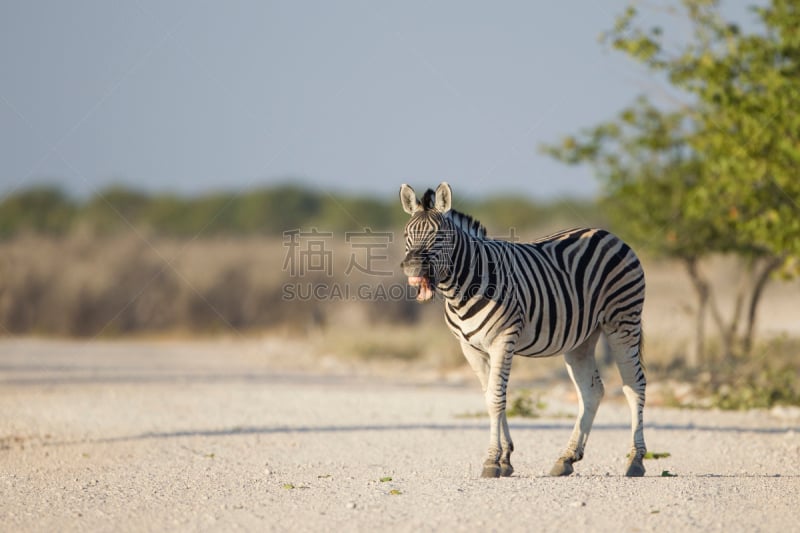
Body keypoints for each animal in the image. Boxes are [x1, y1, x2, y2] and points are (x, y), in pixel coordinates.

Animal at [400, 183, 648, 478]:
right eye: (406, 235)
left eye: (439, 237)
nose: (413, 268)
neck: (463, 289)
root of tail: (607, 234)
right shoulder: (470, 348)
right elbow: (491, 396)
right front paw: (505, 458)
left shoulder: (503, 340)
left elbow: (496, 399)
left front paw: (492, 461)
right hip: (582, 339)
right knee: (592, 391)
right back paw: (566, 458)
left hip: (623, 321)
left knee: (634, 385)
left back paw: (636, 460)